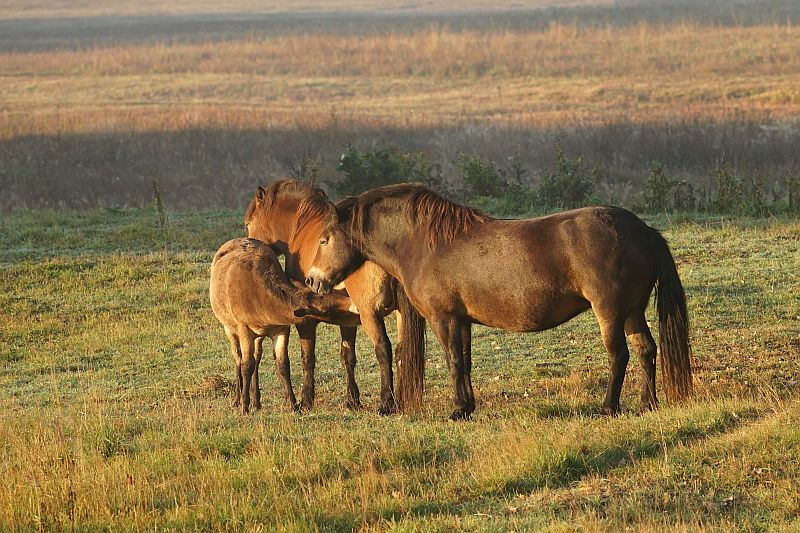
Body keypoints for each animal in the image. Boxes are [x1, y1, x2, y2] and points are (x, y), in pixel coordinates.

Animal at [209, 235, 356, 414]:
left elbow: (283, 364)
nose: (353, 304)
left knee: (257, 357)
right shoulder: (244, 328)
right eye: (327, 308)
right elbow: (246, 365)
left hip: (258, 336)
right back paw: (238, 399)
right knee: (238, 358)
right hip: (229, 328)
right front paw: (244, 406)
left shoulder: (281, 329)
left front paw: (293, 404)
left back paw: (256, 401)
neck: (259, 298)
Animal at [244, 181, 428, 414]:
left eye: (248, 223)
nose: (248, 245)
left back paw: (386, 402)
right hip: (401, 314)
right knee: (402, 352)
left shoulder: (306, 319)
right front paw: (353, 400)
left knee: (383, 349)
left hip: (371, 315)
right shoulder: (348, 321)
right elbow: (348, 357)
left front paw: (306, 399)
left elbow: (308, 357)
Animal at [304, 183, 692, 420]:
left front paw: (457, 410)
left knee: (620, 355)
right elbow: (465, 363)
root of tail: (642, 229)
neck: (424, 244)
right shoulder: (462, 321)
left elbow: (453, 363)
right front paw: (467, 406)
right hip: (633, 311)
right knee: (646, 350)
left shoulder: (444, 319)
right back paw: (648, 403)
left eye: (324, 240)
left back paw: (609, 406)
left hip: (610, 311)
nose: (312, 279)